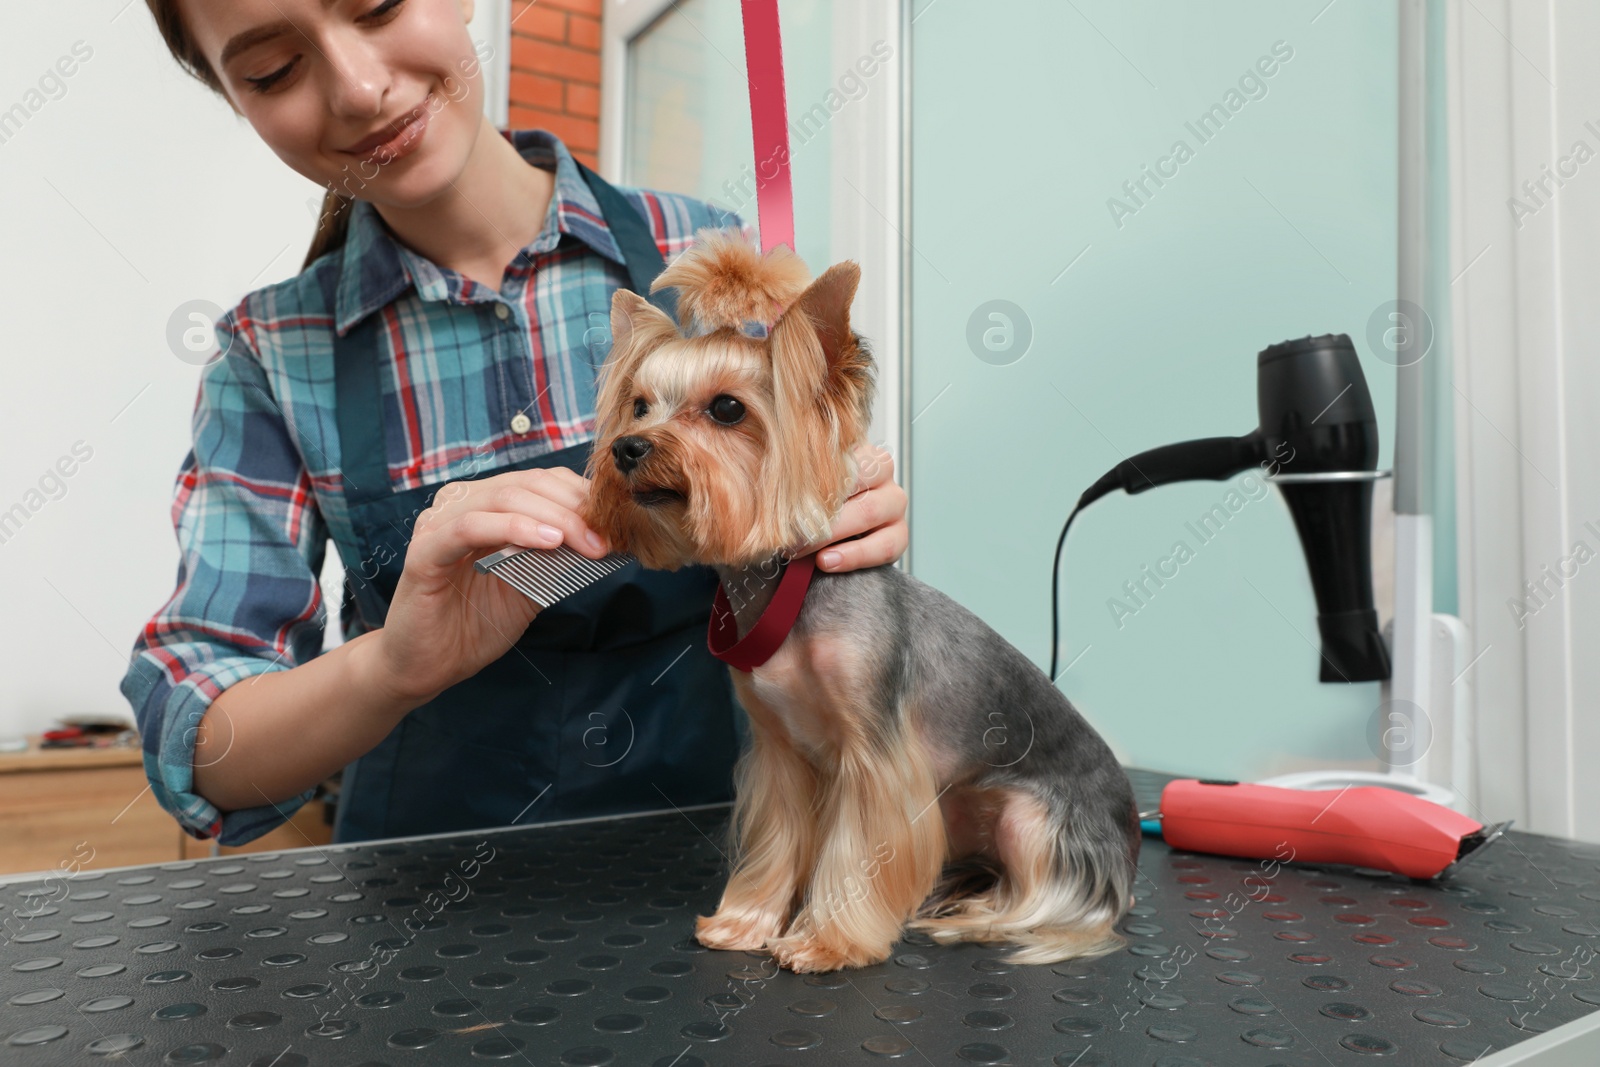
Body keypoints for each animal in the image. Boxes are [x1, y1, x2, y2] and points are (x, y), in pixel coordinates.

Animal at [579, 230, 1139, 972]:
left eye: (727, 409)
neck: (787, 591)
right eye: (640, 404)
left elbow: (855, 854)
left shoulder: (874, 761)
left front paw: (826, 939)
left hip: (1035, 820)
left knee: (1065, 907)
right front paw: (745, 921)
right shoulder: (781, 757)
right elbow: (779, 846)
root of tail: (1131, 840)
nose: (628, 447)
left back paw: (975, 920)